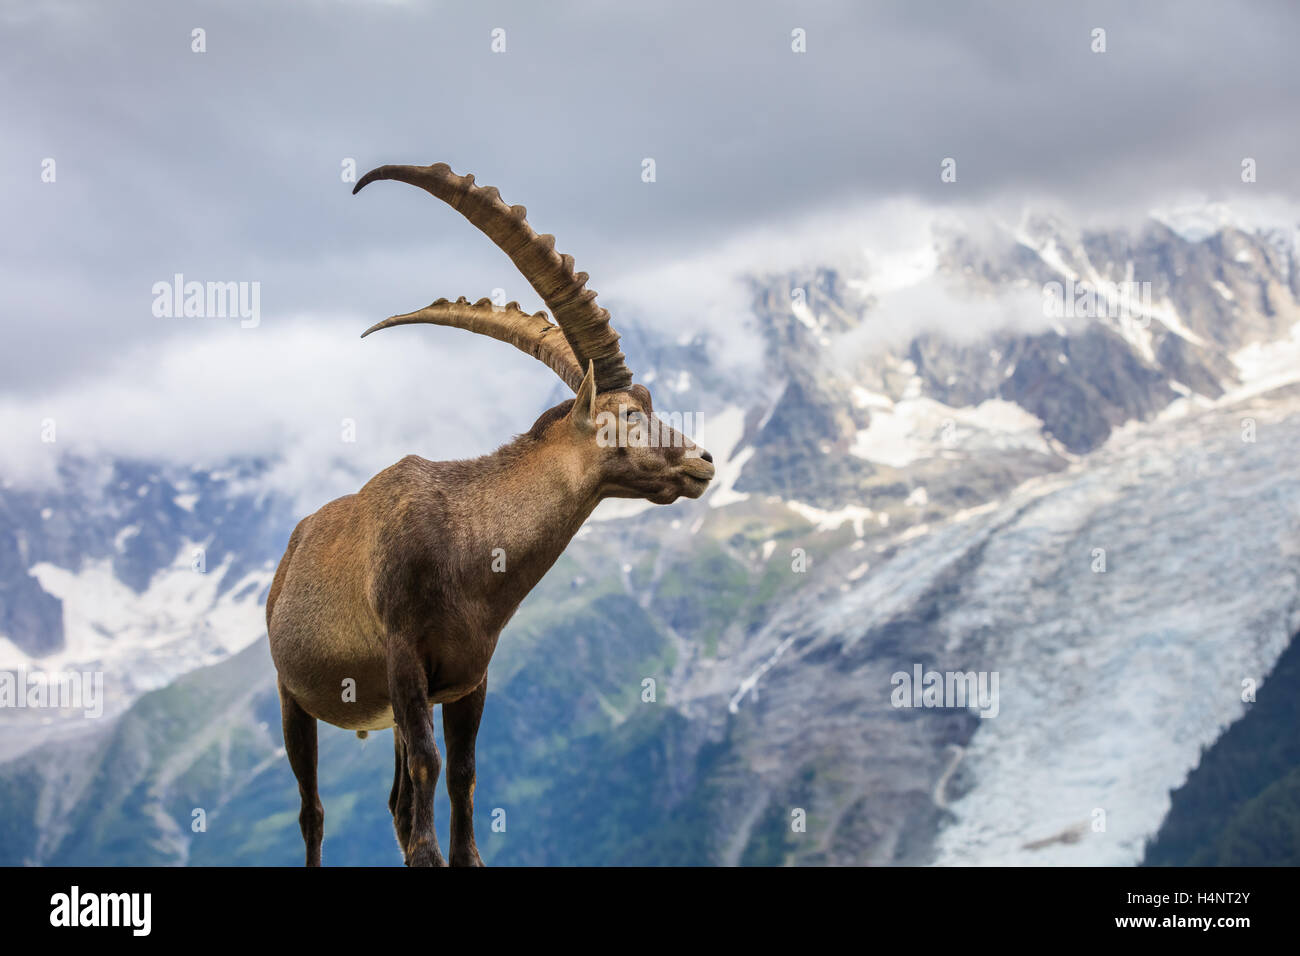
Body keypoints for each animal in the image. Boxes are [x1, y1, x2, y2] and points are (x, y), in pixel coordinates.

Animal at [265, 162, 715, 866]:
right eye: (625, 416)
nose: (703, 460)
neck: (468, 542)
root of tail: (292, 551)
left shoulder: (469, 676)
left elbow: (463, 771)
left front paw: (464, 854)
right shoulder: (405, 657)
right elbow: (430, 766)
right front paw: (431, 856)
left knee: (394, 800)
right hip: (293, 696)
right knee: (313, 811)